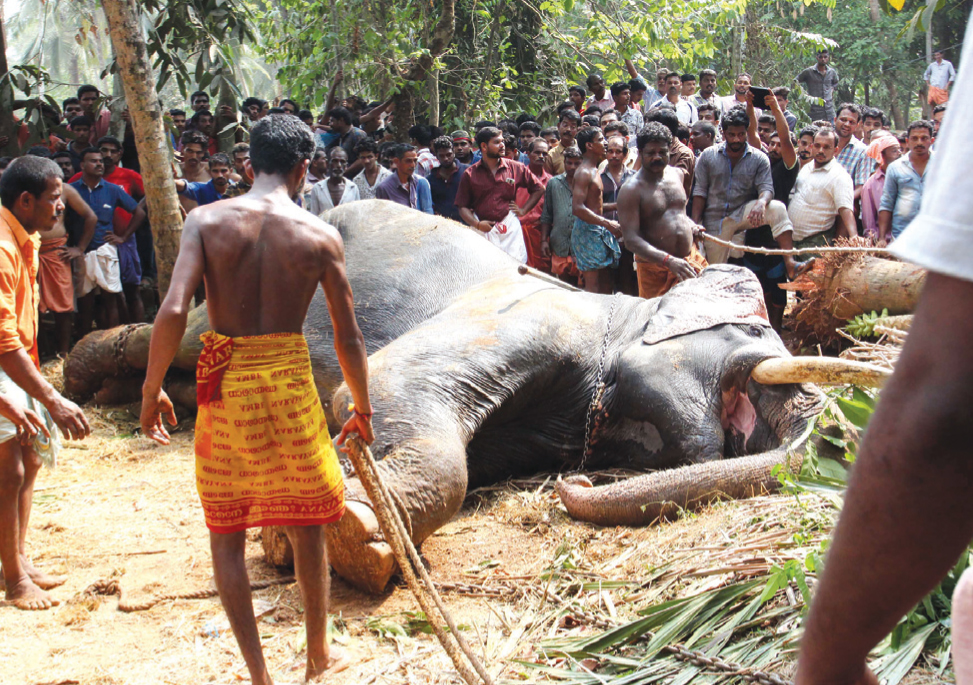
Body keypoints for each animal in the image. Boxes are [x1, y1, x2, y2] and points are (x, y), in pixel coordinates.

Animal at [66, 200, 872, 592]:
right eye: (762, 339)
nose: (577, 484)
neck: (615, 319)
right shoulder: (530, 314)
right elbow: (382, 384)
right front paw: (346, 536)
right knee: (196, 334)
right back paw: (87, 385)